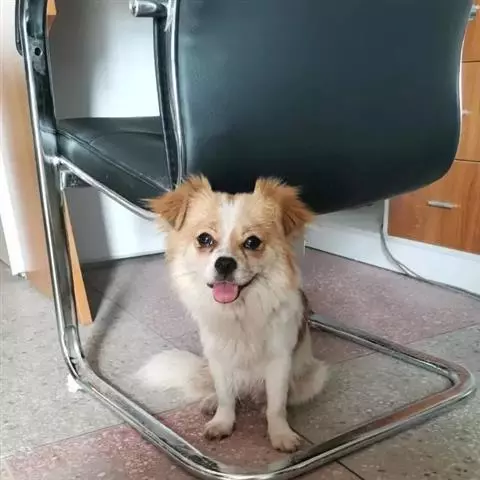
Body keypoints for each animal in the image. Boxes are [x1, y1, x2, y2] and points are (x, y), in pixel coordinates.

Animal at [138, 176, 328, 452]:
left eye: (252, 242)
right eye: (204, 239)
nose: (225, 263)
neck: (239, 312)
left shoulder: (279, 361)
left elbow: (276, 405)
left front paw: (280, 434)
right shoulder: (219, 358)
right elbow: (226, 397)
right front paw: (222, 422)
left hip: (314, 377)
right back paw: (211, 401)